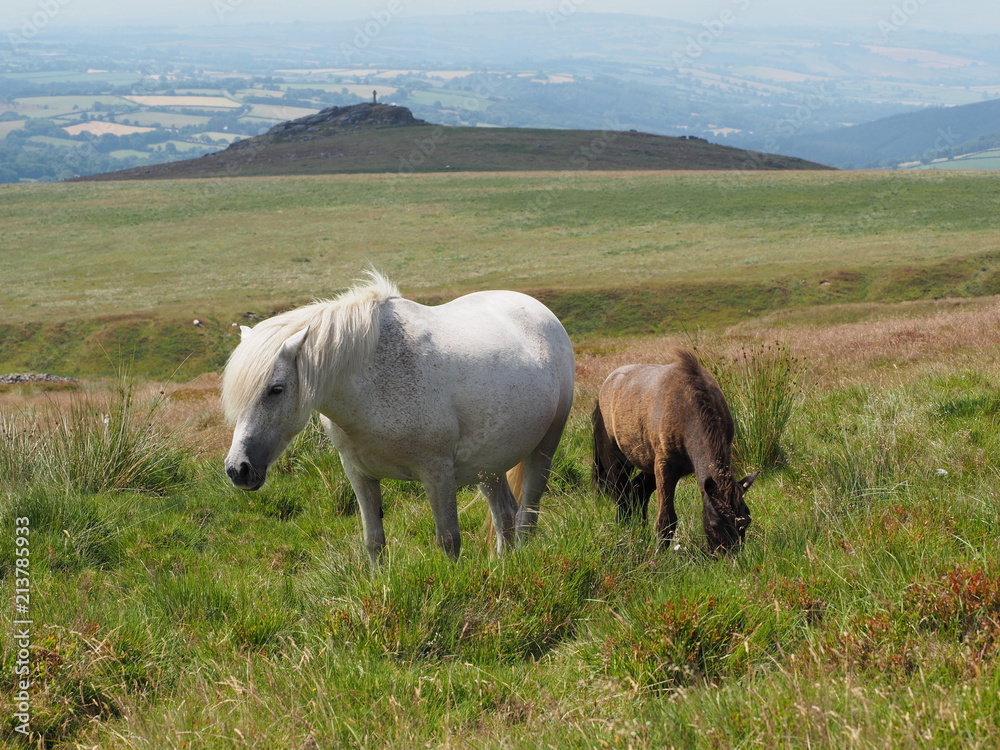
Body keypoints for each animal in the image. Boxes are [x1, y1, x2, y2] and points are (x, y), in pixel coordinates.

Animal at [222, 272, 575, 565]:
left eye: (276, 389)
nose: (238, 469)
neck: (373, 382)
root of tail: (540, 312)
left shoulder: (437, 473)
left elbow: (449, 539)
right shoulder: (359, 474)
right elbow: (373, 541)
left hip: (545, 447)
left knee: (526, 516)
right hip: (489, 466)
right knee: (505, 515)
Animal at [591, 349, 757, 554]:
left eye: (746, 521)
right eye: (714, 524)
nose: (731, 557)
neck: (686, 406)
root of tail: (606, 385)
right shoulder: (665, 467)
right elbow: (666, 518)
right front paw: (660, 554)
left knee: (638, 490)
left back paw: (640, 531)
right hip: (617, 462)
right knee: (621, 496)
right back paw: (624, 530)